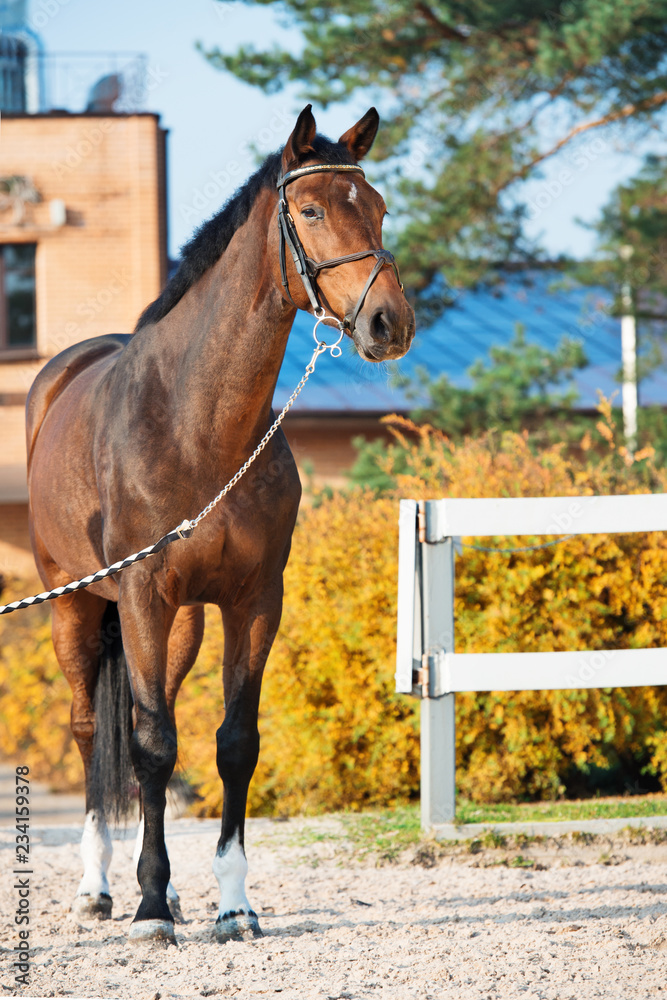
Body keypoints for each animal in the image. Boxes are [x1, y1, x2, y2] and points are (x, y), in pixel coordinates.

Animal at [26, 104, 415, 944]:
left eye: (375, 207)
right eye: (310, 210)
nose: (387, 323)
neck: (196, 424)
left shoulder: (252, 600)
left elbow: (233, 744)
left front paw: (232, 905)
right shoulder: (140, 595)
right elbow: (147, 747)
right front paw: (147, 908)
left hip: (180, 625)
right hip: (76, 605)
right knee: (91, 728)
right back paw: (98, 887)